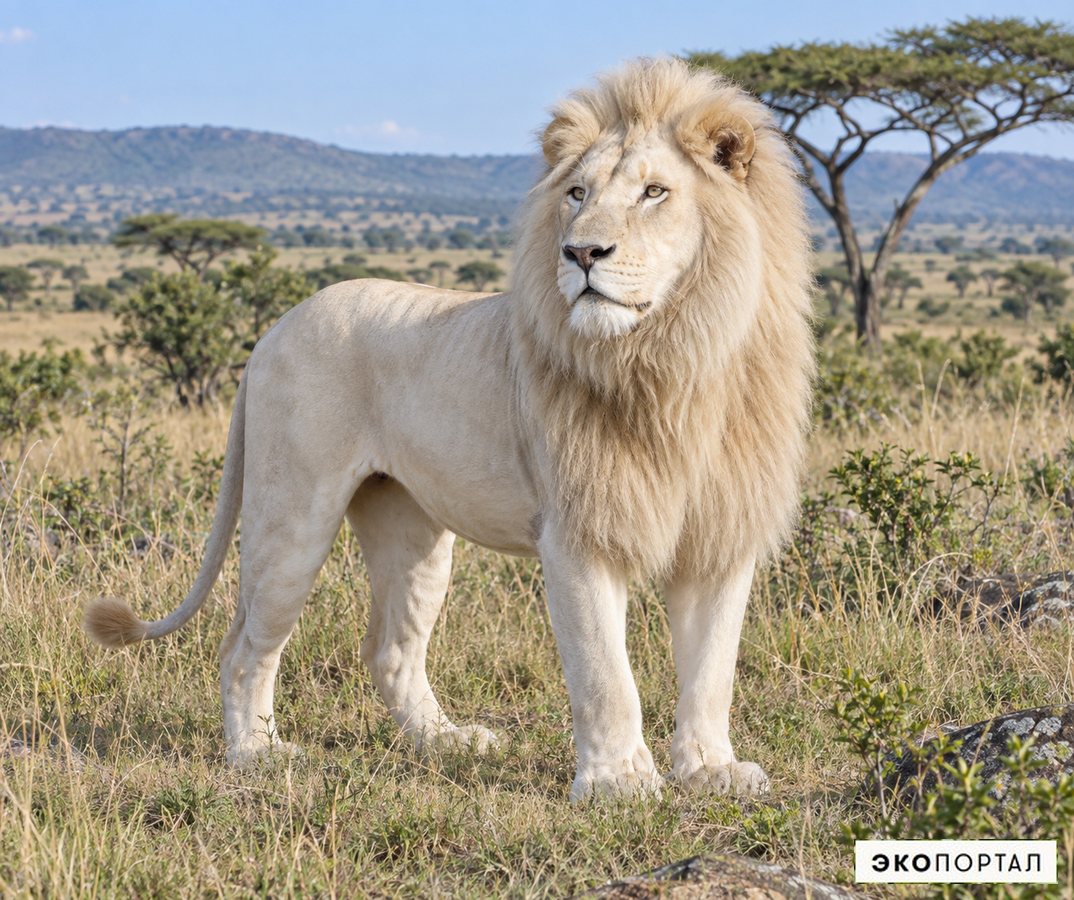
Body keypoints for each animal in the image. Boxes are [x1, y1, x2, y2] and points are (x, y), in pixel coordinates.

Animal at [85, 58, 814, 801]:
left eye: (654, 192)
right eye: (577, 193)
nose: (581, 253)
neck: (674, 362)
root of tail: (272, 331)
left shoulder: (721, 534)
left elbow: (712, 671)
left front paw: (711, 769)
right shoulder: (576, 534)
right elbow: (606, 675)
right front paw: (618, 782)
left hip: (412, 533)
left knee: (389, 649)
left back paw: (446, 742)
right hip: (291, 516)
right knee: (243, 645)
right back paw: (257, 753)